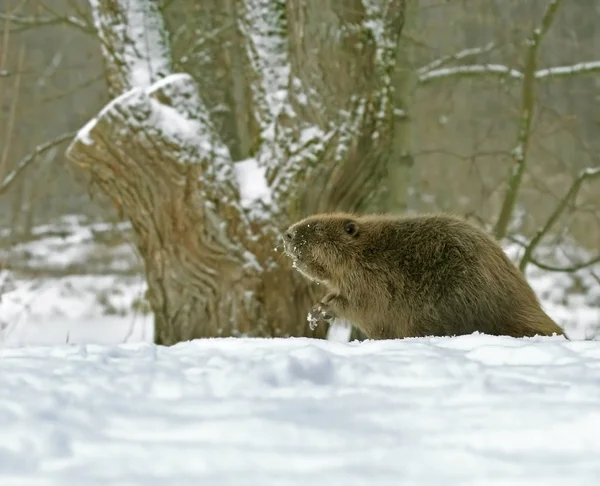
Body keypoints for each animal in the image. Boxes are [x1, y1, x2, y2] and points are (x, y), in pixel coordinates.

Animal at [282, 211, 568, 340]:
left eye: (318, 228)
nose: (287, 234)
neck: (366, 252)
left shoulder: (371, 280)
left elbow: (356, 304)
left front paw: (320, 310)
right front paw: (315, 311)